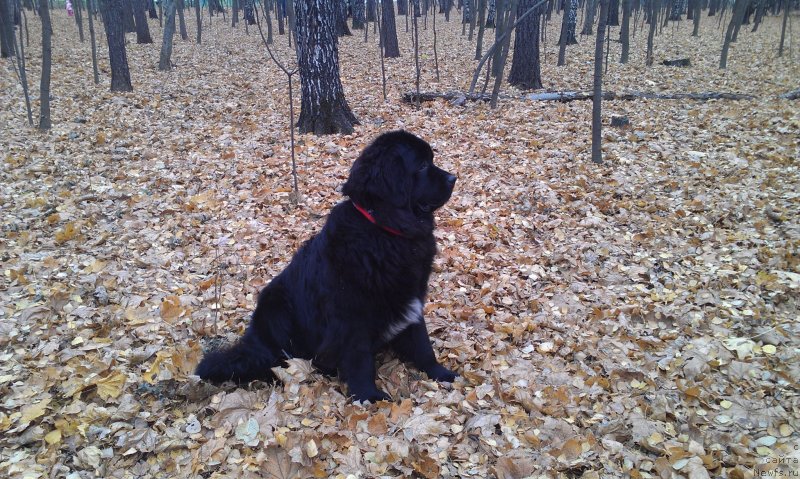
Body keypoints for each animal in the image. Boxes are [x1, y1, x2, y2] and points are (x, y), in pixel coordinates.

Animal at [194, 129, 456, 404]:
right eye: (422, 165)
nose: (453, 178)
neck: (384, 229)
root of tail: (255, 340)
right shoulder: (351, 314)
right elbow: (360, 358)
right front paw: (367, 396)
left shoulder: (411, 299)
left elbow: (422, 342)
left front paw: (441, 373)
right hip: (277, 305)